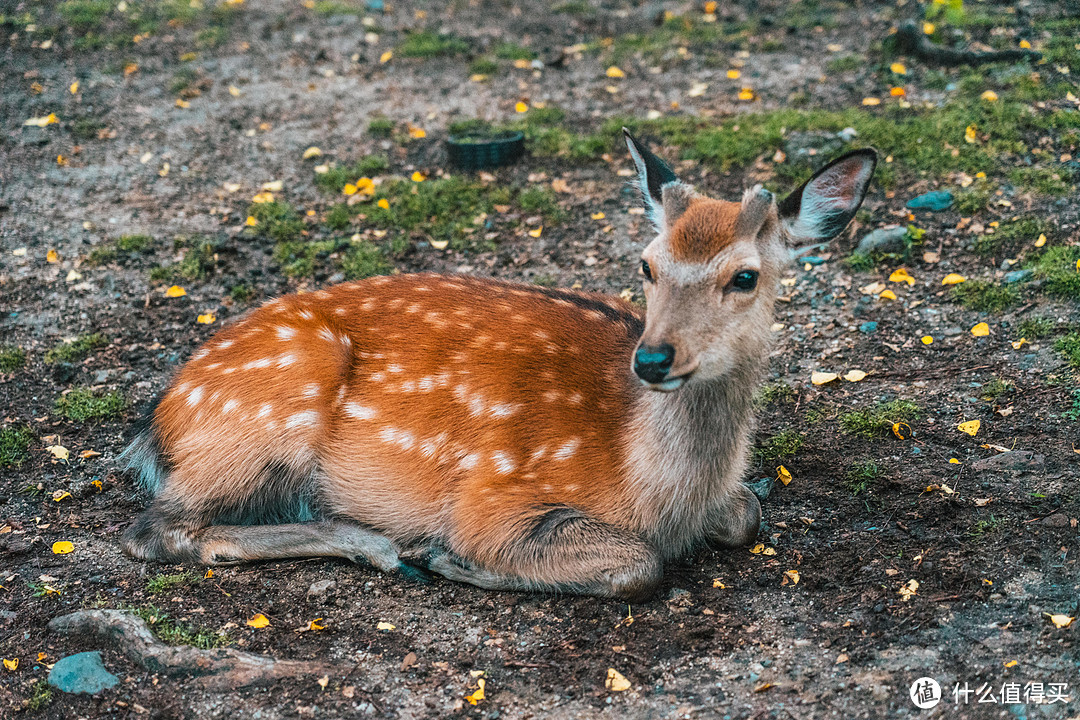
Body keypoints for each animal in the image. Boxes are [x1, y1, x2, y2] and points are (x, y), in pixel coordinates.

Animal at [120, 131, 876, 604]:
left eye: (745, 276)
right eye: (646, 265)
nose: (653, 358)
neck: (655, 489)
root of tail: (159, 421)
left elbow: (749, 513)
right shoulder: (495, 495)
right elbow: (640, 563)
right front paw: (450, 558)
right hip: (265, 415)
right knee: (158, 530)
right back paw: (382, 546)